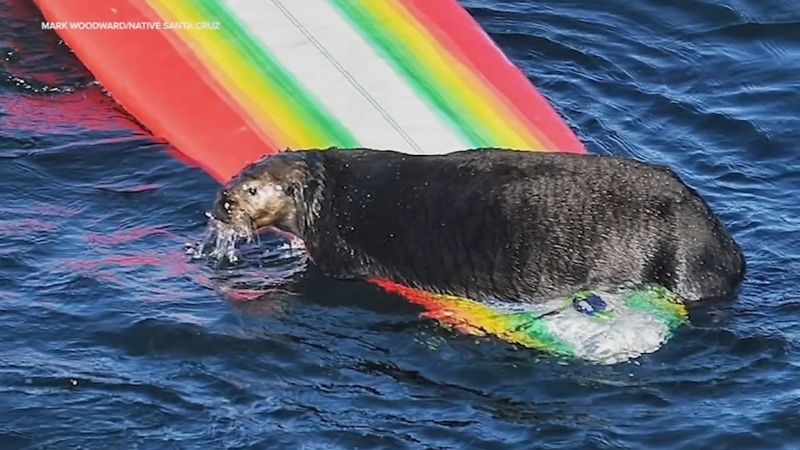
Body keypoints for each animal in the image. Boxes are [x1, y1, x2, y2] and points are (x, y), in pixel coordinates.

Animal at [210, 147, 745, 303]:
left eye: (251, 191)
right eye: (233, 179)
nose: (222, 204)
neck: (334, 190)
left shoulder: (334, 248)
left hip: (682, 258)